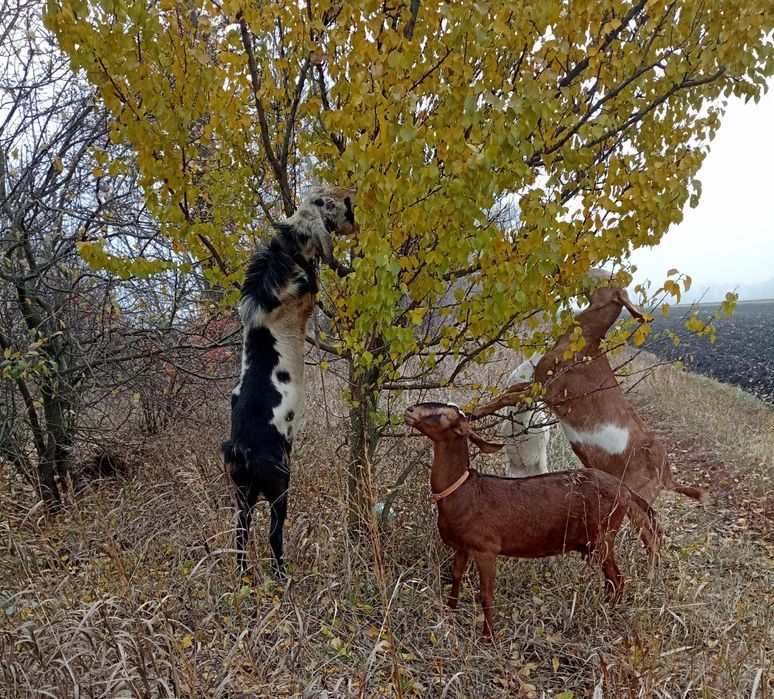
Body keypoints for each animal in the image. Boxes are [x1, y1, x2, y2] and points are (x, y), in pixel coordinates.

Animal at [222, 186, 356, 575]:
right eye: (327, 203)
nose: (351, 204)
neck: (284, 251)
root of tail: (240, 448)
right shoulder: (308, 292)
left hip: (243, 496)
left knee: (240, 536)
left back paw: (244, 576)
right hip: (279, 485)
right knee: (273, 535)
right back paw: (282, 575)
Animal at [405, 402, 660, 638]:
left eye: (442, 415)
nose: (409, 411)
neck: (462, 492)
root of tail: (625, 490)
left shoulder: (486, 547)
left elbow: (486, 593)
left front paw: (488, 637)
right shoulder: (462, 546)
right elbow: (455, 576)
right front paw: (450, 612)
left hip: (604, 535)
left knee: (618, 579)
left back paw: (610, 616)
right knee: (611, 580)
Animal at [473, 272, 707, 543]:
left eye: (608, 278)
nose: (575, 274)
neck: (582, 345)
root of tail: (666, 472)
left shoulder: (549, 390)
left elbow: (509, 397)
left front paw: (476, 412)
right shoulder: (538, 383)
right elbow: (510, 391)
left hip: (638, 494)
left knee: (651, 534)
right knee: (655, 530)